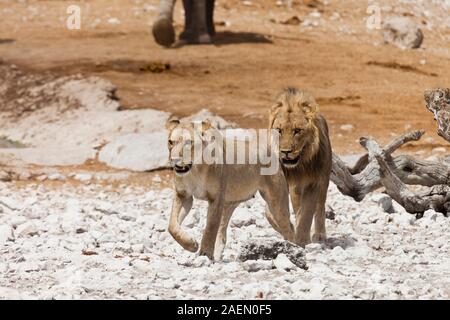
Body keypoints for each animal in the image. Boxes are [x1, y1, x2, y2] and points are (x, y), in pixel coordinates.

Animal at [165, 117, 296, 260]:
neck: (195, 169)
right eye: (170, 142)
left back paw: (293, 249)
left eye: (189, 142)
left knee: (289, 227)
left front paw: (205, 253)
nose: (174, 159)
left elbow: (210, 228)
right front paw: (191, 245)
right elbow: (172, 226)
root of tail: (272, 154)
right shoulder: (183, 196)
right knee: (222, 234)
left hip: (276, 204)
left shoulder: (216, 199)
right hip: (232, 205)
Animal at [268, 89, 332, 246]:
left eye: (297, 130)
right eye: (279, 130)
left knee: (320, 206)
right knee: (297, 207)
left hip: (324, 179)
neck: (298, 166)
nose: (285, 151)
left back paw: (319, 235)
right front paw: (287, 229)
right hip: (295, 189)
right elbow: (272, 212)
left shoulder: (314, 182)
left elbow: (307, 212)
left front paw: (302, 240)